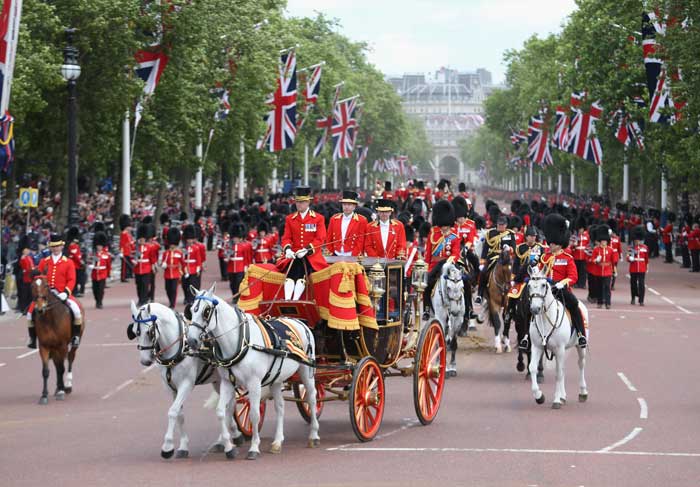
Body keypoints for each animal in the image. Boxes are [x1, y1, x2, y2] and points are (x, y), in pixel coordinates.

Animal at [30, 276, 83, 406]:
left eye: (46, 285)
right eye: (32, 286)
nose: (40, 308)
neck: (49, 318)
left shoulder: (62, 346)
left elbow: (61, 368)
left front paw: (61, 391)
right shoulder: (44, 347)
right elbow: (46, 371)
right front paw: (44, 395)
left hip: (72, 345)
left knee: (70, 359)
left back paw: (67, 386)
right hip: (54, 349)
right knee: (57, 364)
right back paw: (59, 387)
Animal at [129, 304, 243, 460]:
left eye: (149, 332)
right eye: (135, 331)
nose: (145, 361)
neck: (180, 348)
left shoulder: (186, 385)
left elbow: (172, 412)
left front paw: (167, 447)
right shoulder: (172, 388)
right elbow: (179, 415)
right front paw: (183, 446)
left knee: (229, 406)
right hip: (218, 381)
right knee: (229, 405)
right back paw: (230, 437)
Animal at [183, 284, 320, 460]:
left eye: (207, 311)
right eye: (191, 310)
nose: (192, 341)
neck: (241, 342)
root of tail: (300, 322)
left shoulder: (254, 383)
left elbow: (254, 414)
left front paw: (254, 447)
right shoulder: (227, 383)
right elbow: (221, 411)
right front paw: (229, 448)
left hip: (306, 372)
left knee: (312, 399)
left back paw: (314, 435)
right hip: (276, 378)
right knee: (280, 406)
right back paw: (277, 442)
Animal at [528, 266, 588, 408]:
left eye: (544, 285)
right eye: (529, 286)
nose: (535, 309)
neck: (545, 319)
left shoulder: (559, 348)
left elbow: (558, 374)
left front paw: (556, 400)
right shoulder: (537, 347)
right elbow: (532, 368)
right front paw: (539, 396)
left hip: (579, 347)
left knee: (581, 364)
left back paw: (582, 392)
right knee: (563, 368)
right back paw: (563, 397)